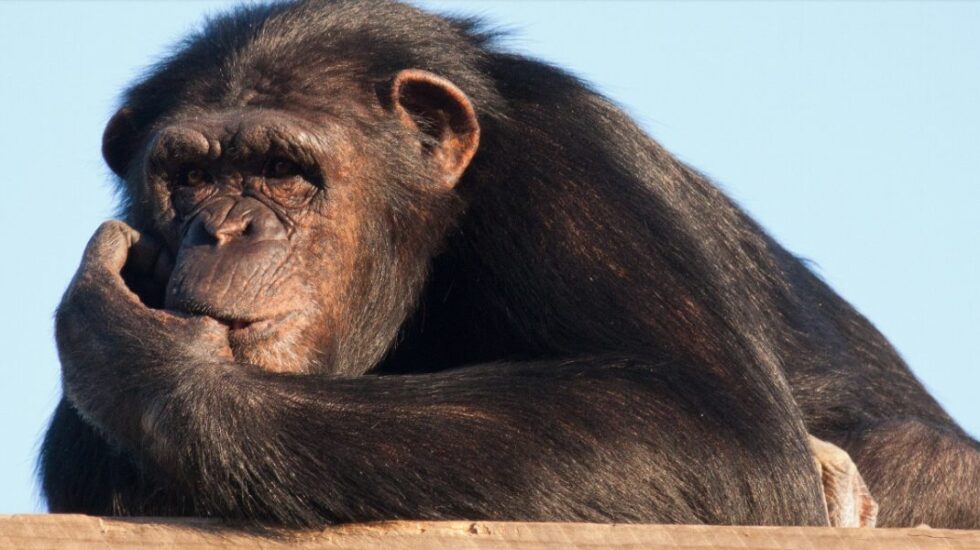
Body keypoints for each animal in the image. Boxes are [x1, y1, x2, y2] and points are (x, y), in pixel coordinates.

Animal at [38, 0, 972, 532]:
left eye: (281, 169)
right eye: (191, 178)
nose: (226, 228)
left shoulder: (572, 166)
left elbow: (713, 426)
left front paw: (143, 357)